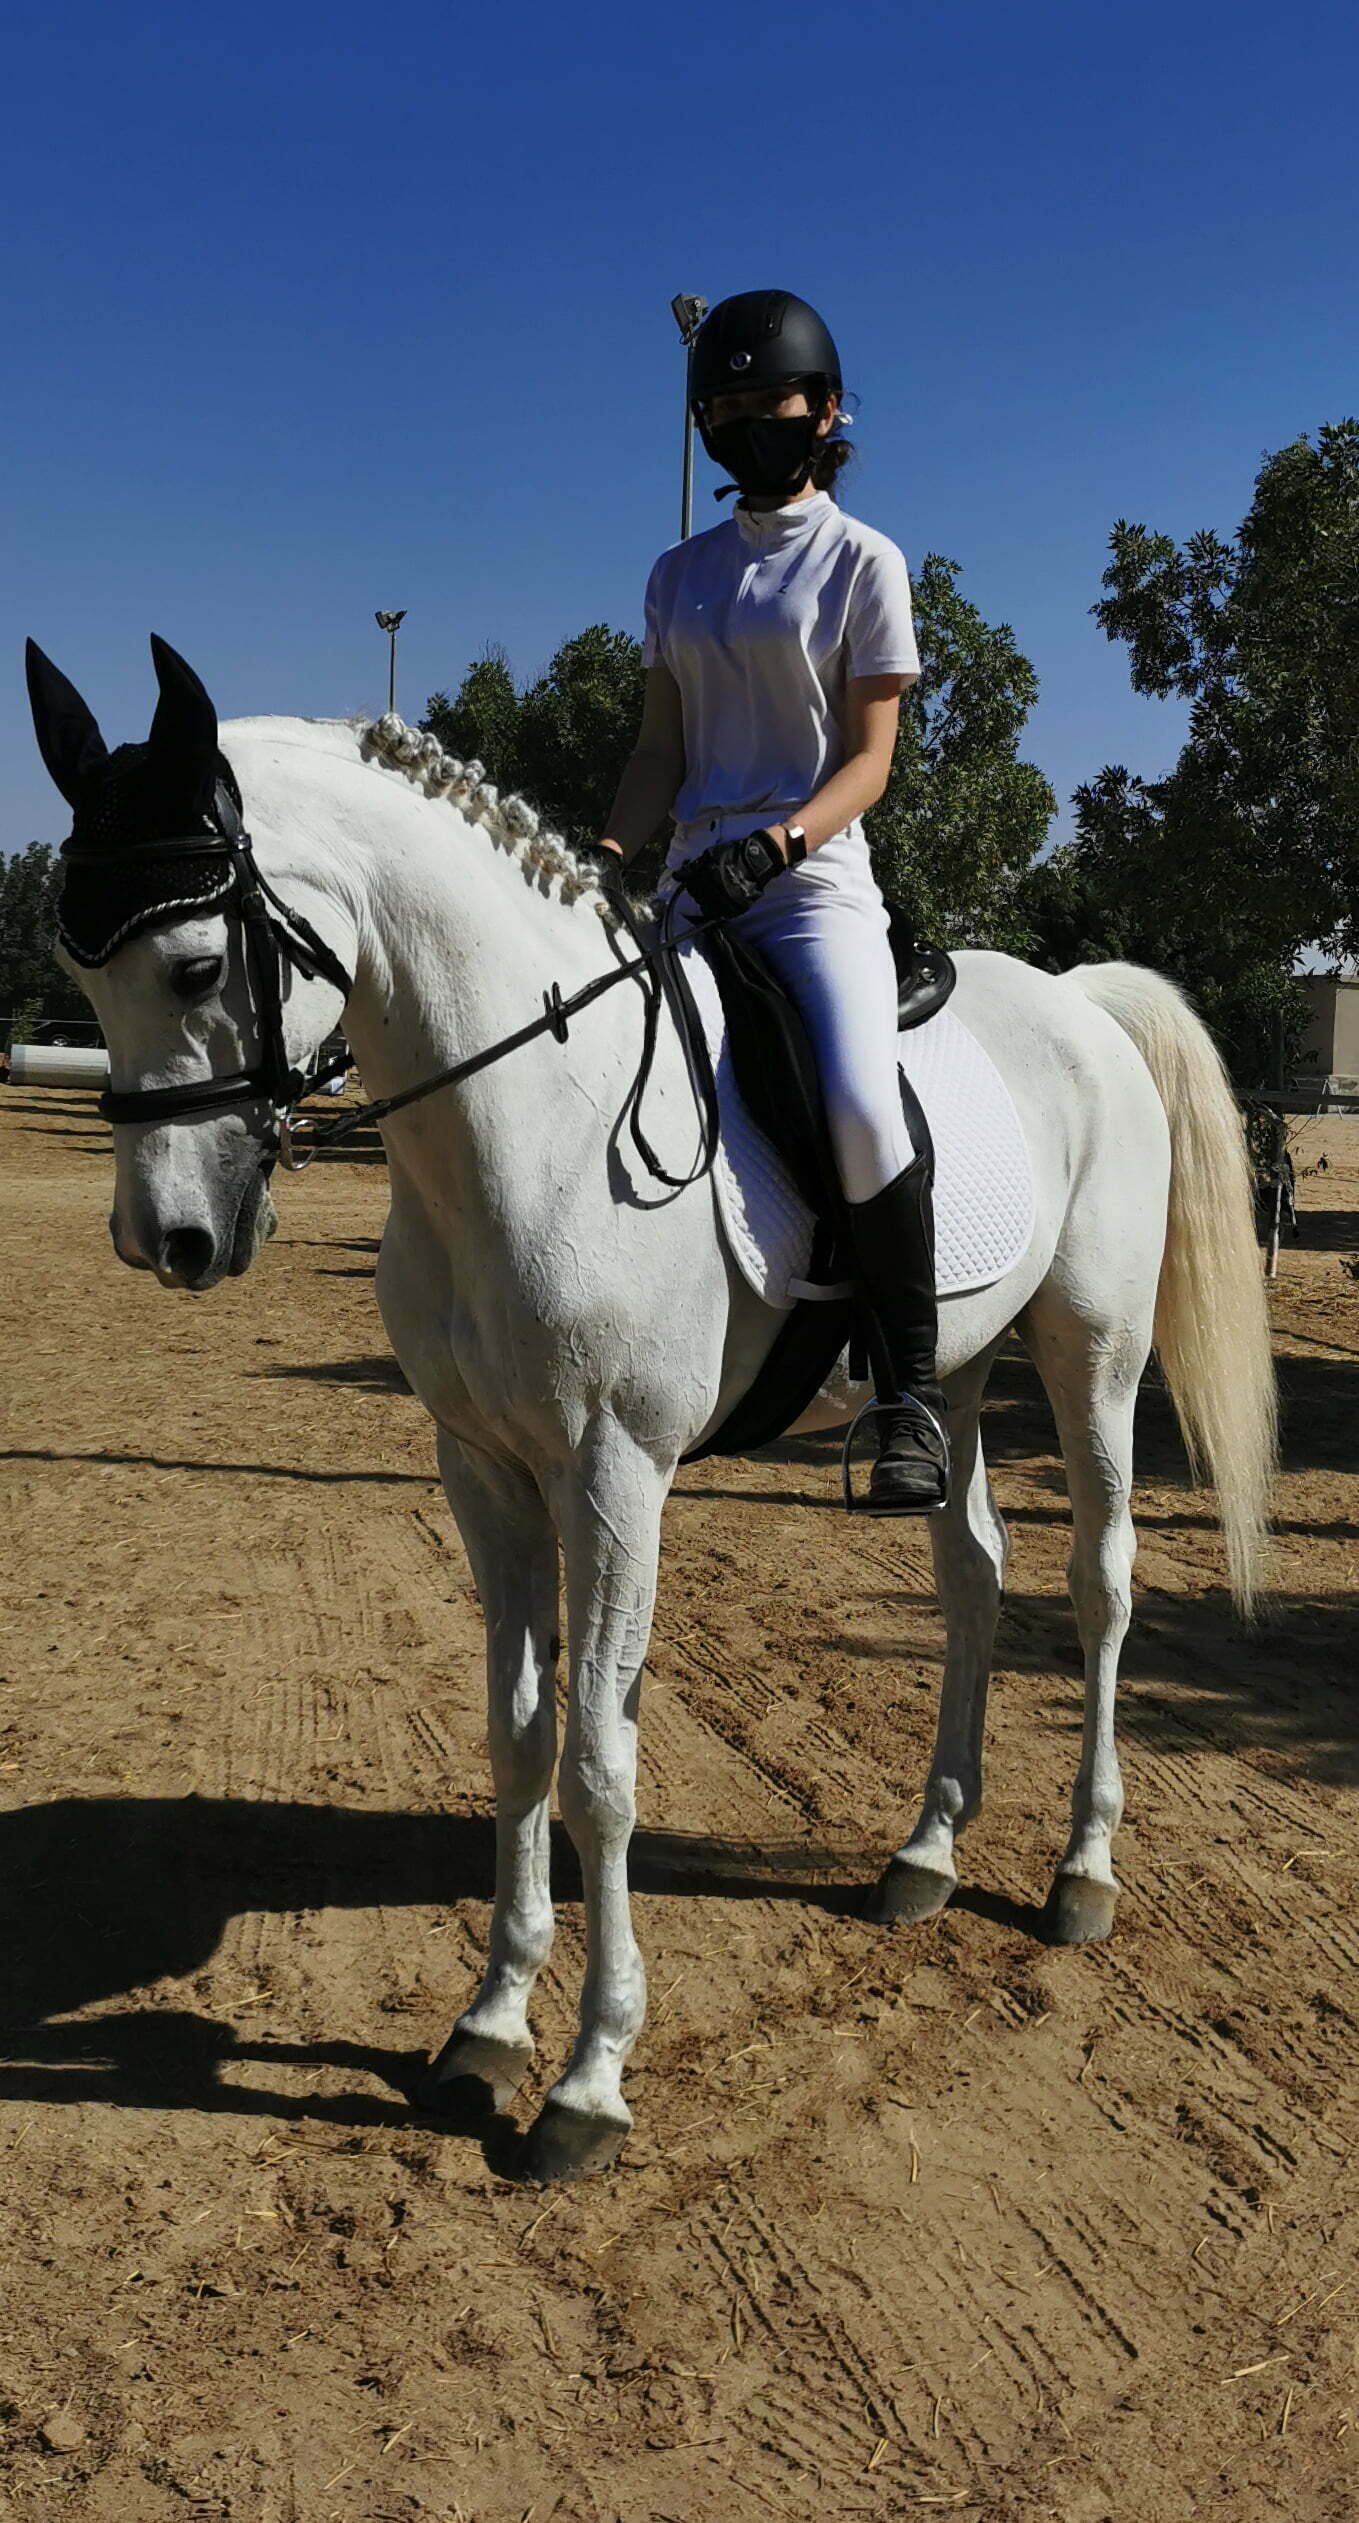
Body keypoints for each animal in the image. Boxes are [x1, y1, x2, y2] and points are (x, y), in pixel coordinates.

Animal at [27, 636, 1276, 2181]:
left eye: (197, 964)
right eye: (76, 968)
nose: (171, 1240)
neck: (534, 1122)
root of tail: (1078, 1002)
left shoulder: (615, 1474)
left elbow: (602, 1761)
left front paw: (587, 2080)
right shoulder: (482, 1468)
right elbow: (516, 1736)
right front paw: (487, 2025)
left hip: (1088, 1352)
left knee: (1098, 1585)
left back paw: (1080, 1870)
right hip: (962, 1369)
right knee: (974, 1577)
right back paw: (926, 1851)